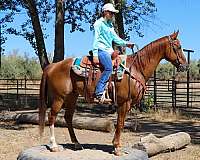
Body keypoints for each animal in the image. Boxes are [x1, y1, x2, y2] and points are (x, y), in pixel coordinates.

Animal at [38, 30, 188, 156]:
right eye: (178, 47)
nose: (185, 66)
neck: (136, 68)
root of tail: (52, 66)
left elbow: (120, 123)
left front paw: (115, 146)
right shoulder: (124, 102)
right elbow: (120, 123)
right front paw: (117, 148)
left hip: (72, 97)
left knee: (68, 117)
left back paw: (76, 143)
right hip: (59, 98)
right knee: (51, 117)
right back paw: (54, 146)